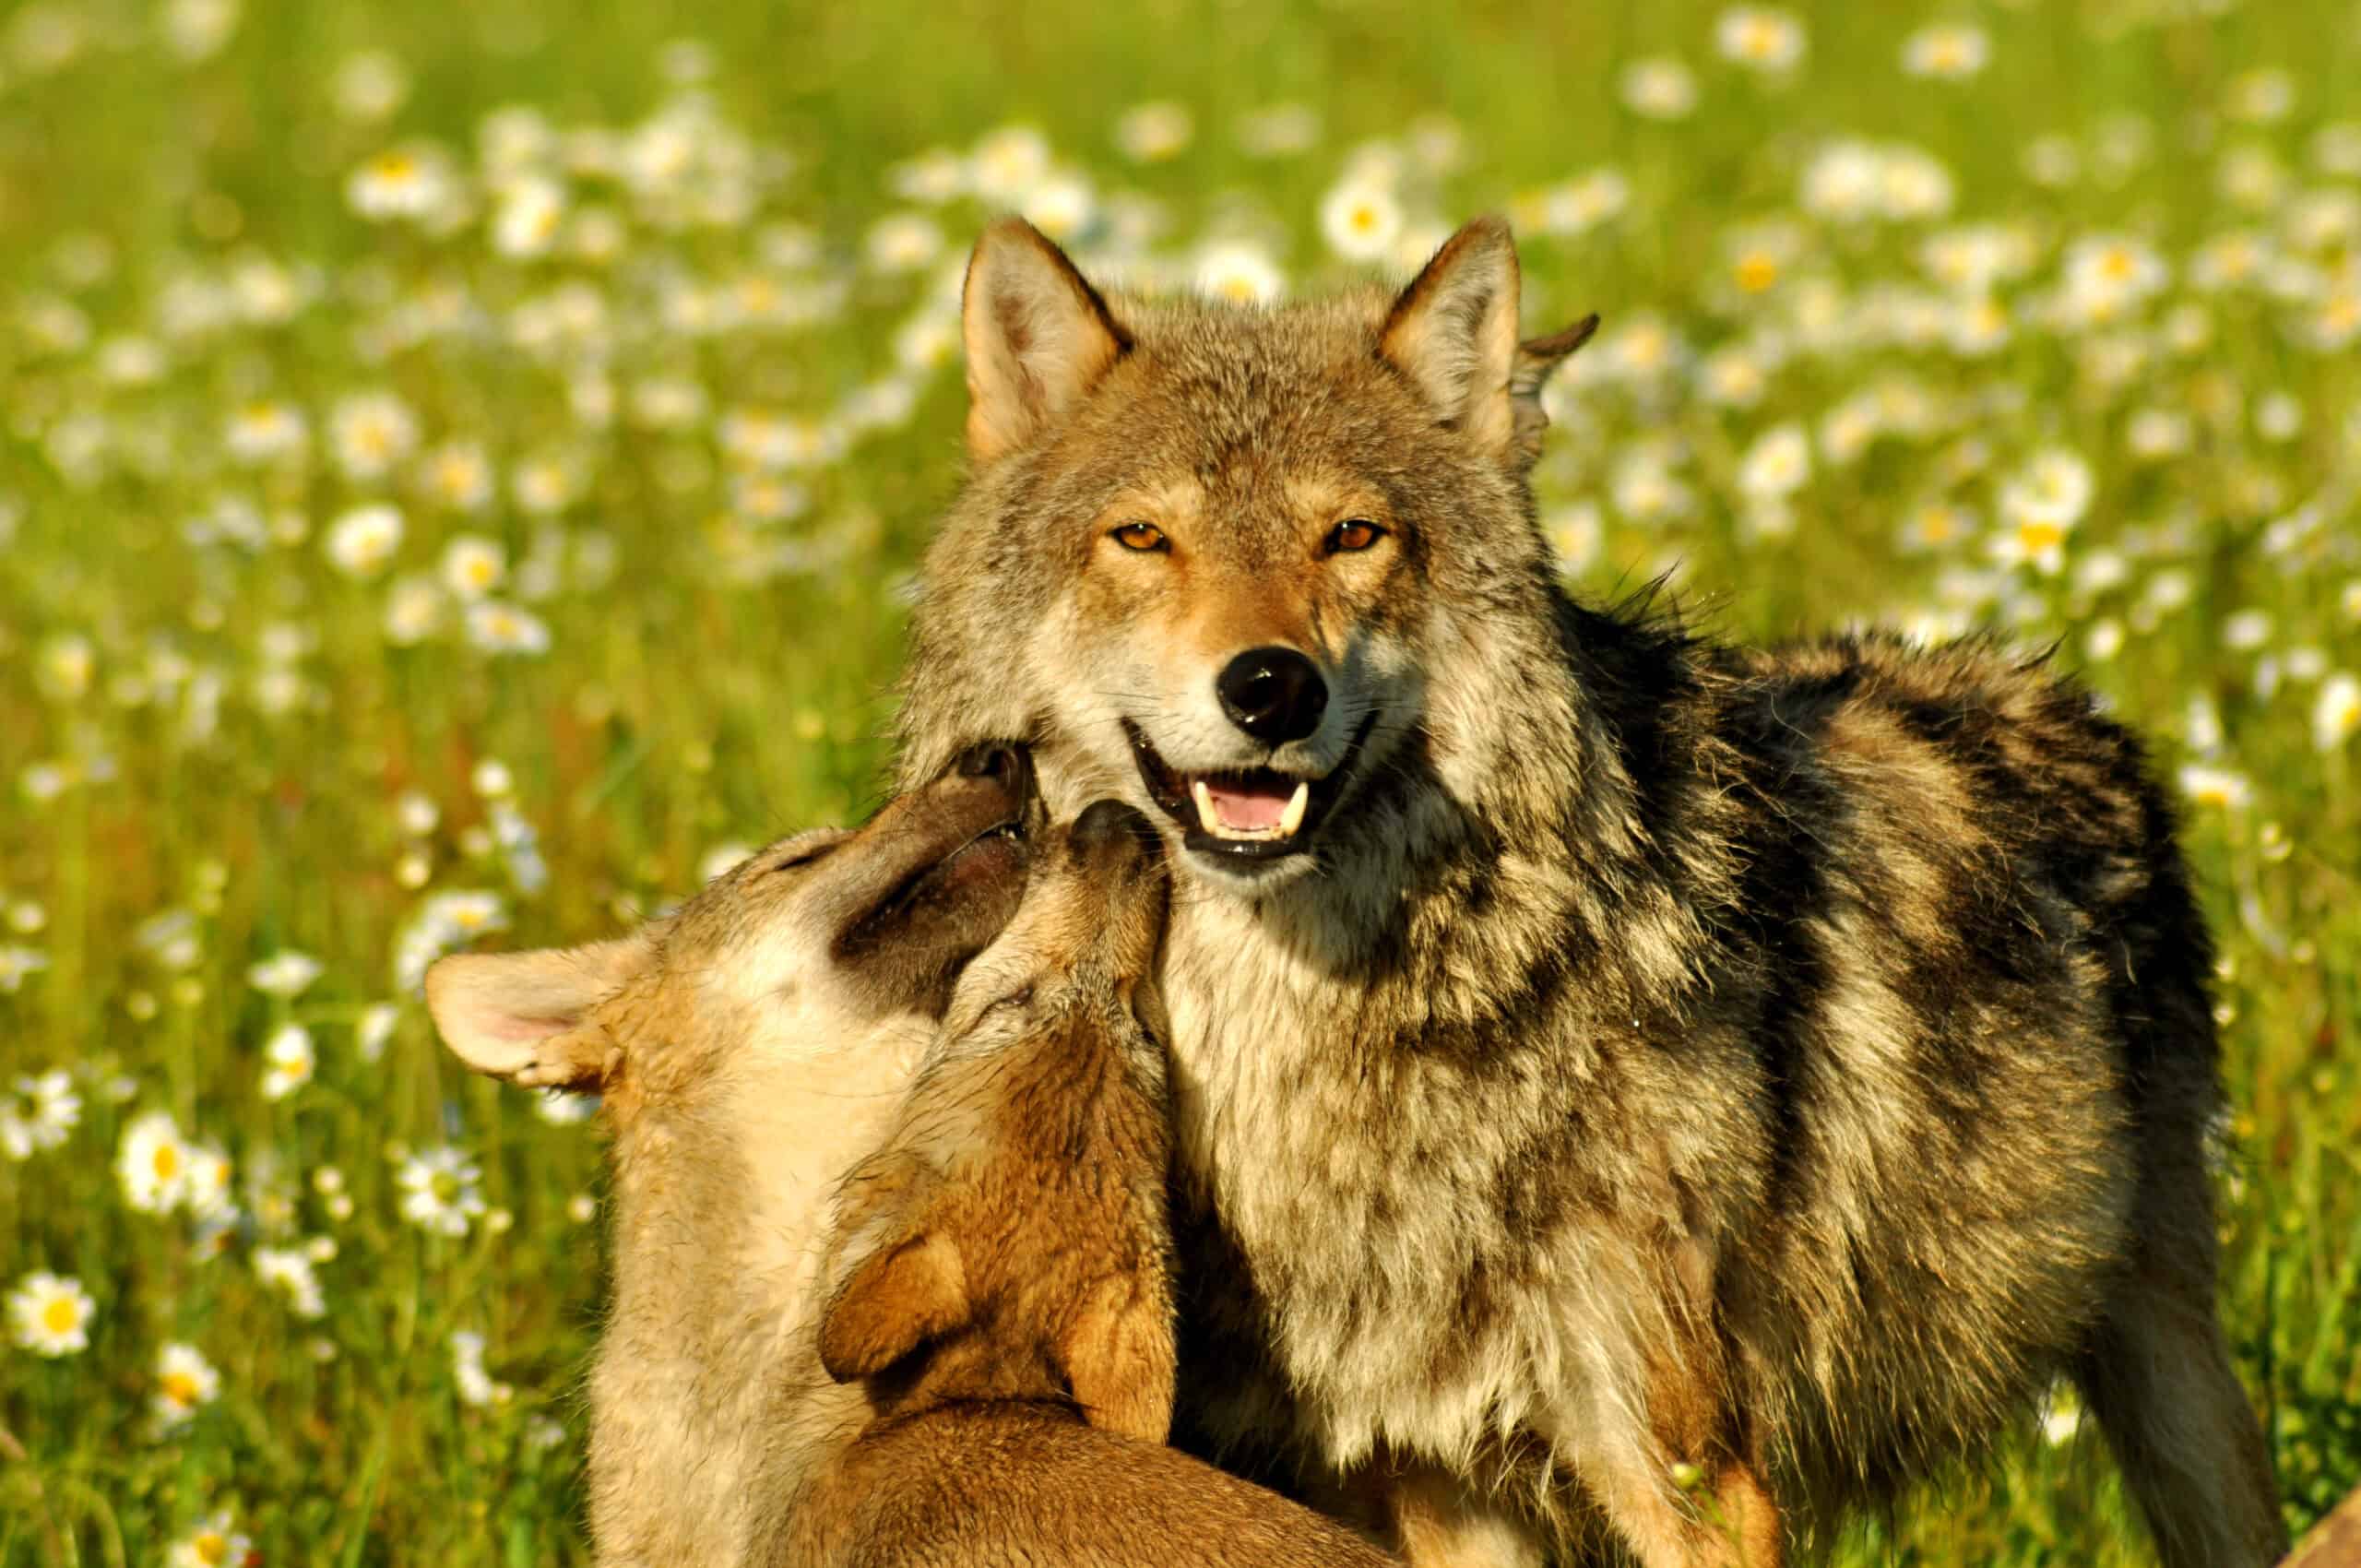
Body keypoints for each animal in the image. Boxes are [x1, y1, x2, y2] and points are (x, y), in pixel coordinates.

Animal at [894, 215, 2286, 1568]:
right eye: (1143, 536)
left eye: (1352, 535)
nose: (1271, 686)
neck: (1298, 1049)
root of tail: (2058, 693)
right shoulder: (1430, 1466)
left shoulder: (1680, 1458)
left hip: (2175, 1389)